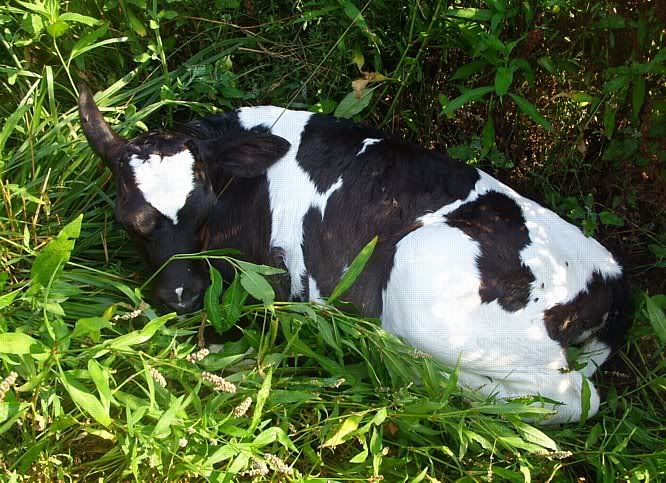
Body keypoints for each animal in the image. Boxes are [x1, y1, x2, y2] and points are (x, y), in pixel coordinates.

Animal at [78, 82, 631, 424]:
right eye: (129, 223)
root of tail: (613, 276)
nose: (182, 296)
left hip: (423, 283)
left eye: (204, 212)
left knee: (572, 398)